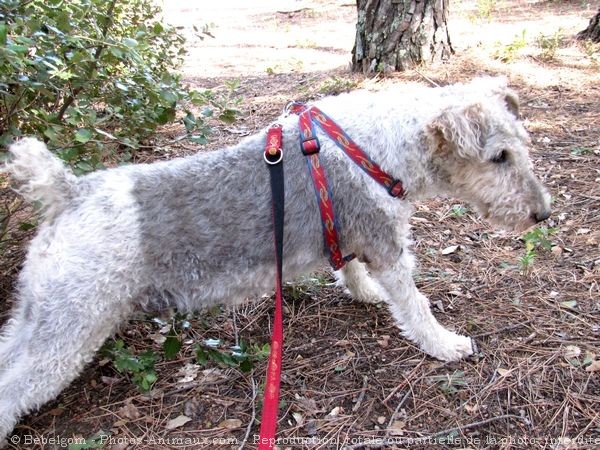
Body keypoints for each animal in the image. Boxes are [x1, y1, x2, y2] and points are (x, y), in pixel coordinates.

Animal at [1, 77, 552, 440]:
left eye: (522, 145)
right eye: (498, 157)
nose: (541, 213)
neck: (378, 147)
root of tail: (68, 192)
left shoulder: (350, 233)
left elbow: (349, 266)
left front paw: (364, 293)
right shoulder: (388, 245)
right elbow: (415, 305)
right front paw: (447, 345)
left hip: (37, 313)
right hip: (70, 329)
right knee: (13, 390)